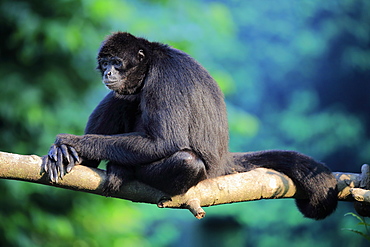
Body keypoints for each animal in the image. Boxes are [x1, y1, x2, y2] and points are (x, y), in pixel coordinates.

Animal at [42, 31, 336, 219]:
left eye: (117, 63)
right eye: (104, 64)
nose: (108, 72)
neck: (153, 60)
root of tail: (222, 159)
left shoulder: (164, 77)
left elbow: (165, 142)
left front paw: (70, 142)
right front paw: (67, 151)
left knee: (187, 161)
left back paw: (121, 169)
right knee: (123, 99)